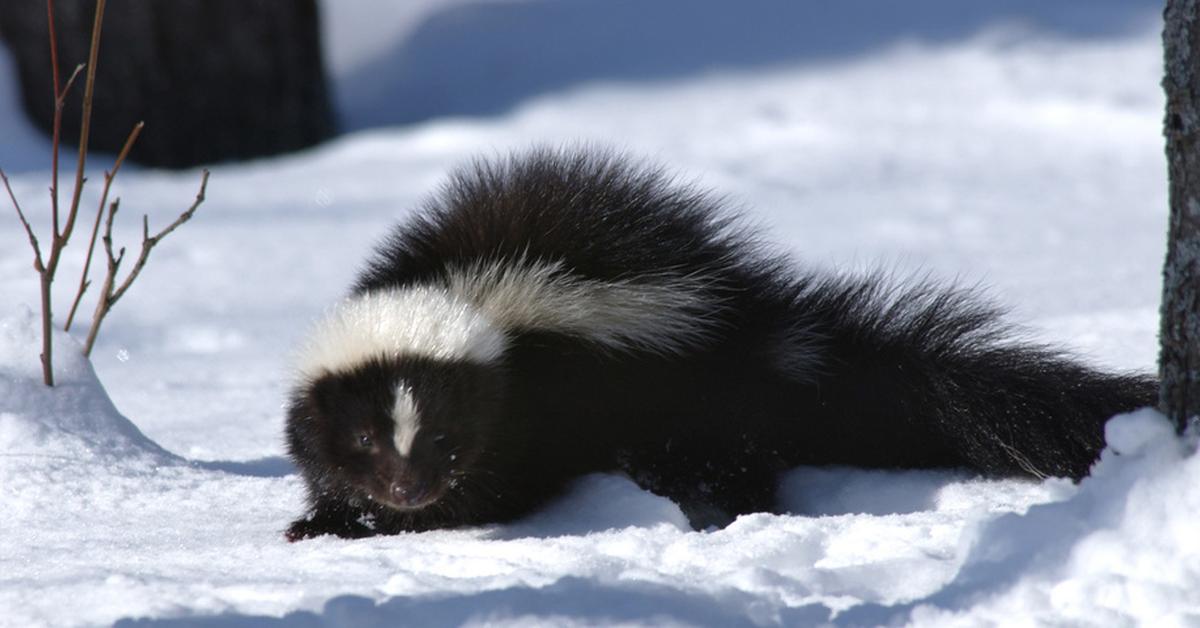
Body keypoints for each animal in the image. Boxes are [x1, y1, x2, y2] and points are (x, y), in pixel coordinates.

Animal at [285, 148, 1156, 540]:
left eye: (445, 437)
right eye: (365, 438)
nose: (408, 490)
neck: (458, 289)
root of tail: (767, 336)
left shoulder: (531, 401)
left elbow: (500, 484)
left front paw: (403, 525)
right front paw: (327, 521)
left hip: (691, 408)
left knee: (730, 466)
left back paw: (731, 517)